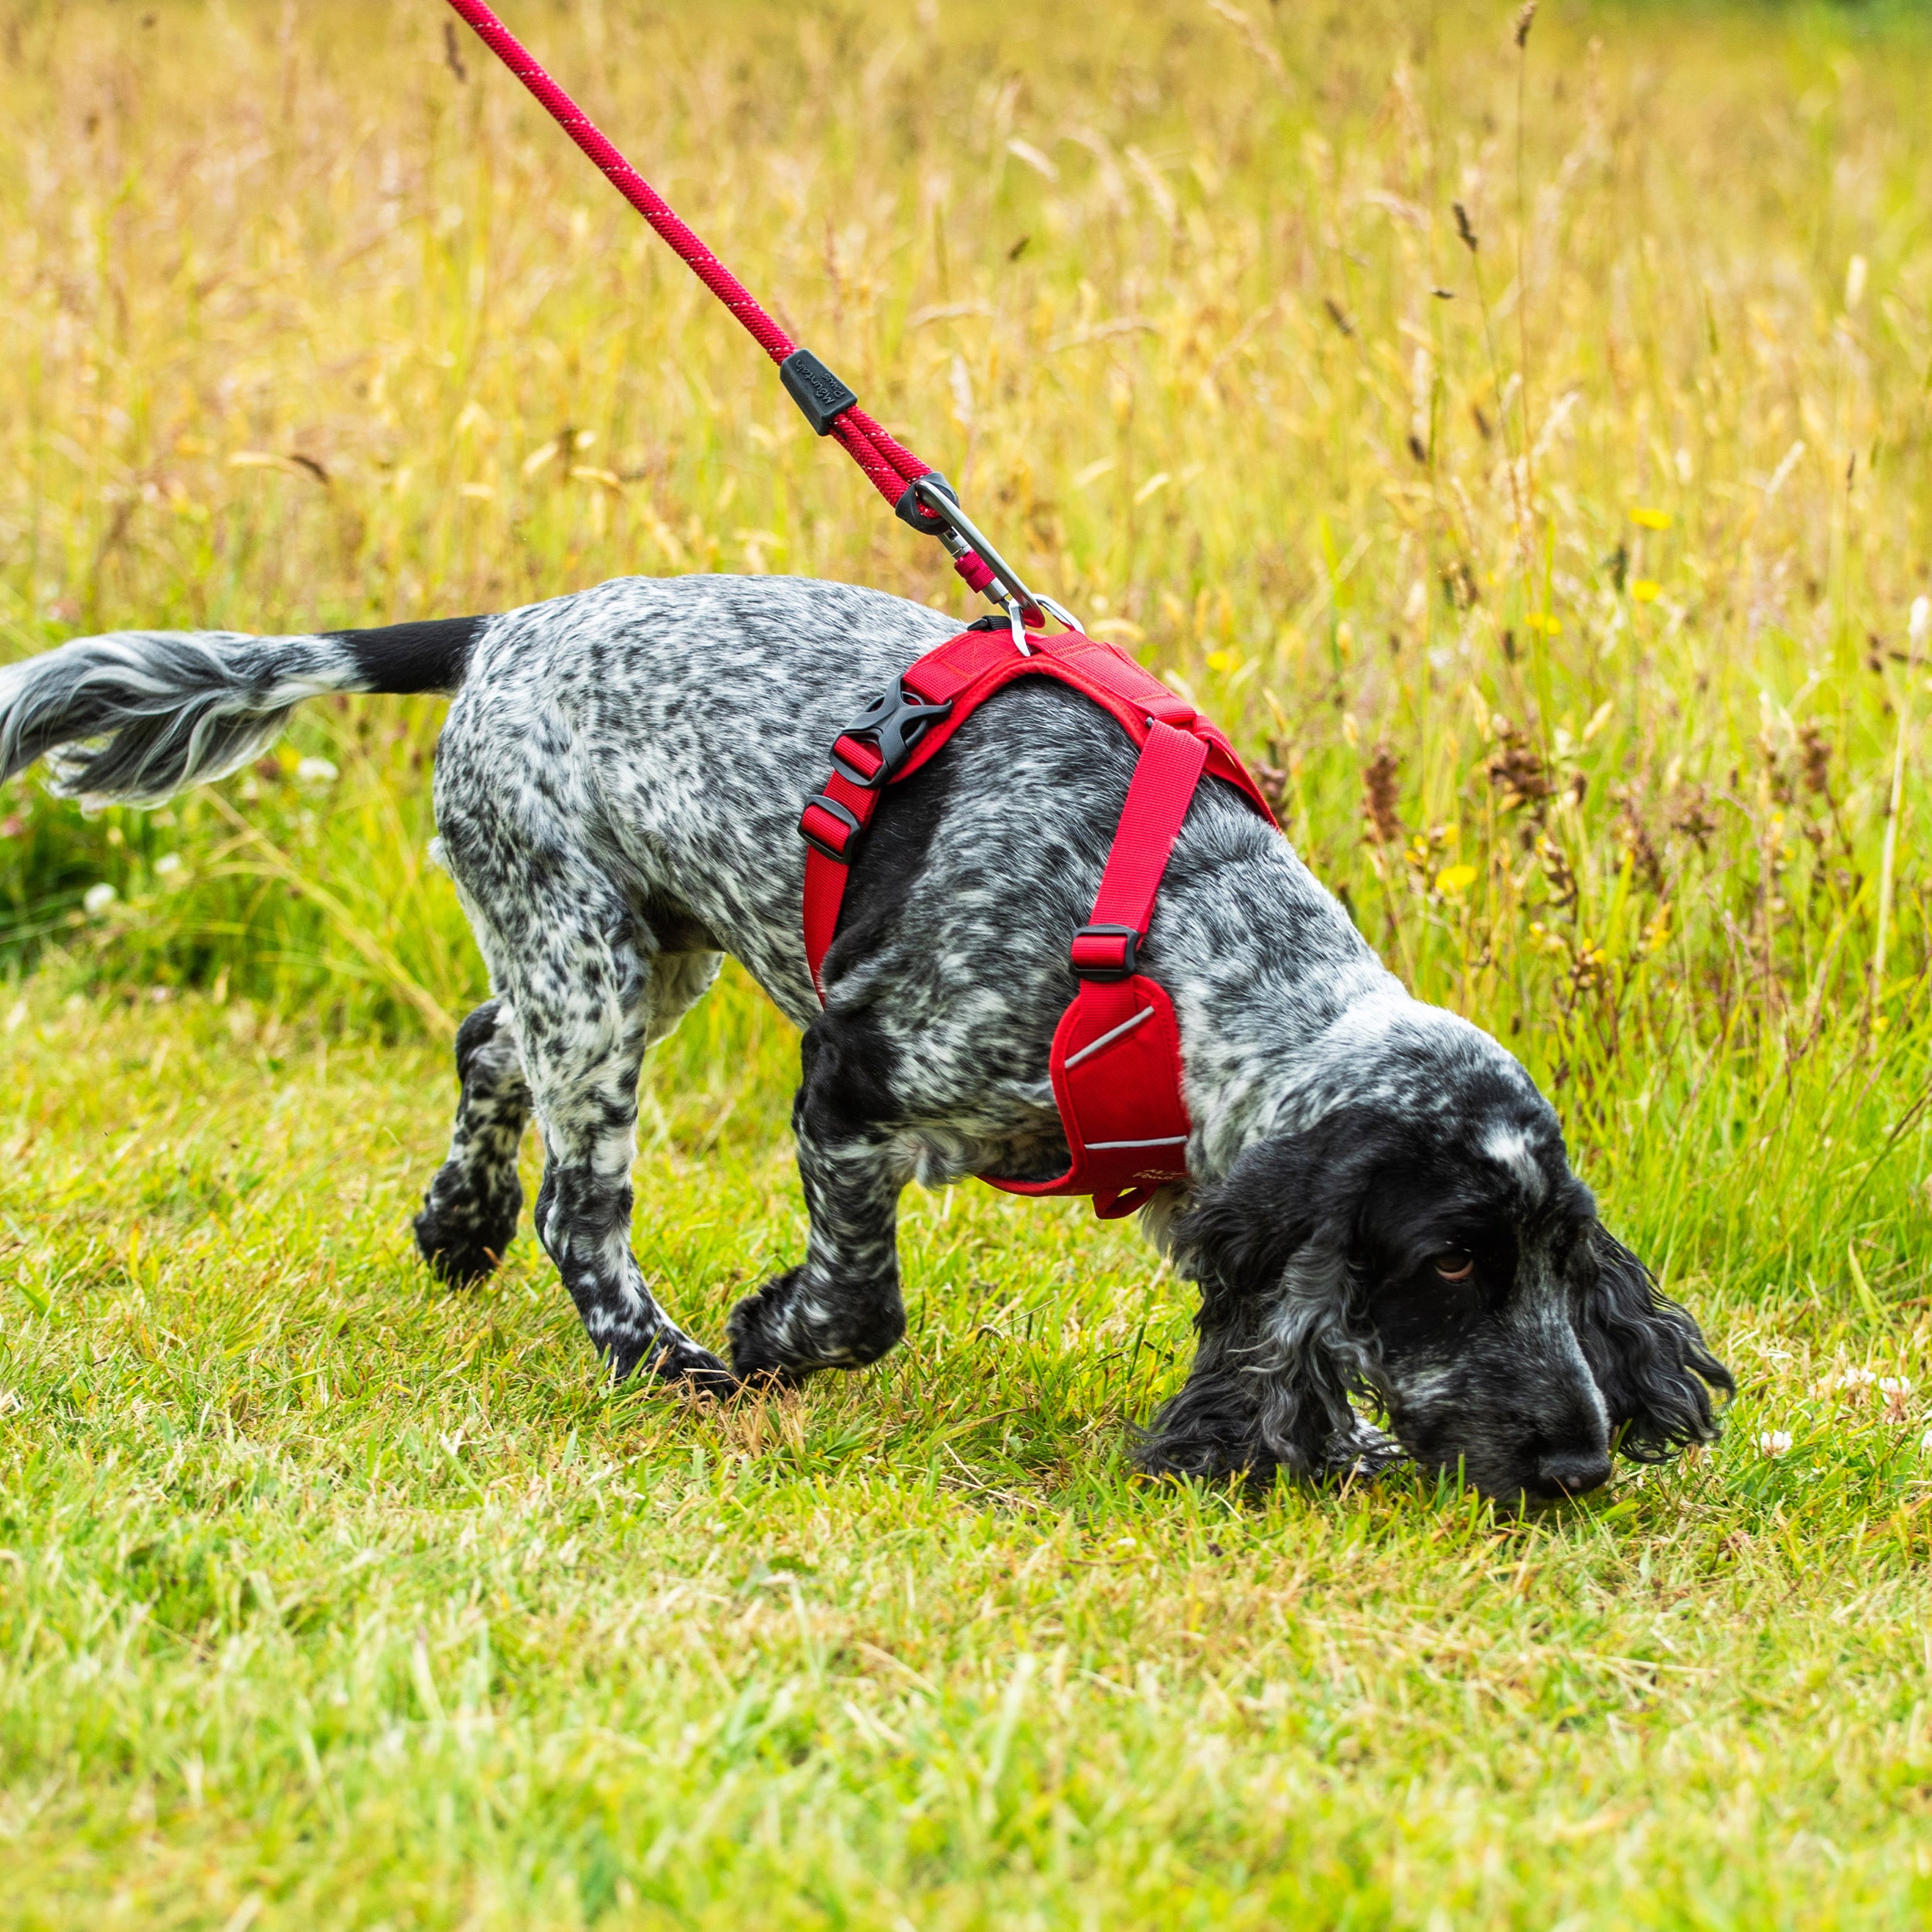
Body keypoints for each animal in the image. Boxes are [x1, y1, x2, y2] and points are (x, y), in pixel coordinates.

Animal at [0, 574, 1732, 1499]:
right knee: (582, 1201)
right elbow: (862, 1302)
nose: (1579, 1461)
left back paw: (456, 1220)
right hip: (593, 960)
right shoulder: (853, 1083)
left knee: (489, 1045)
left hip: (637, 945)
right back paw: (659, 1354)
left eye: (1552, 1259)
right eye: (1450, 1257)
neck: (1190, 955)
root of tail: (502, 630)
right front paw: (773, 1334)